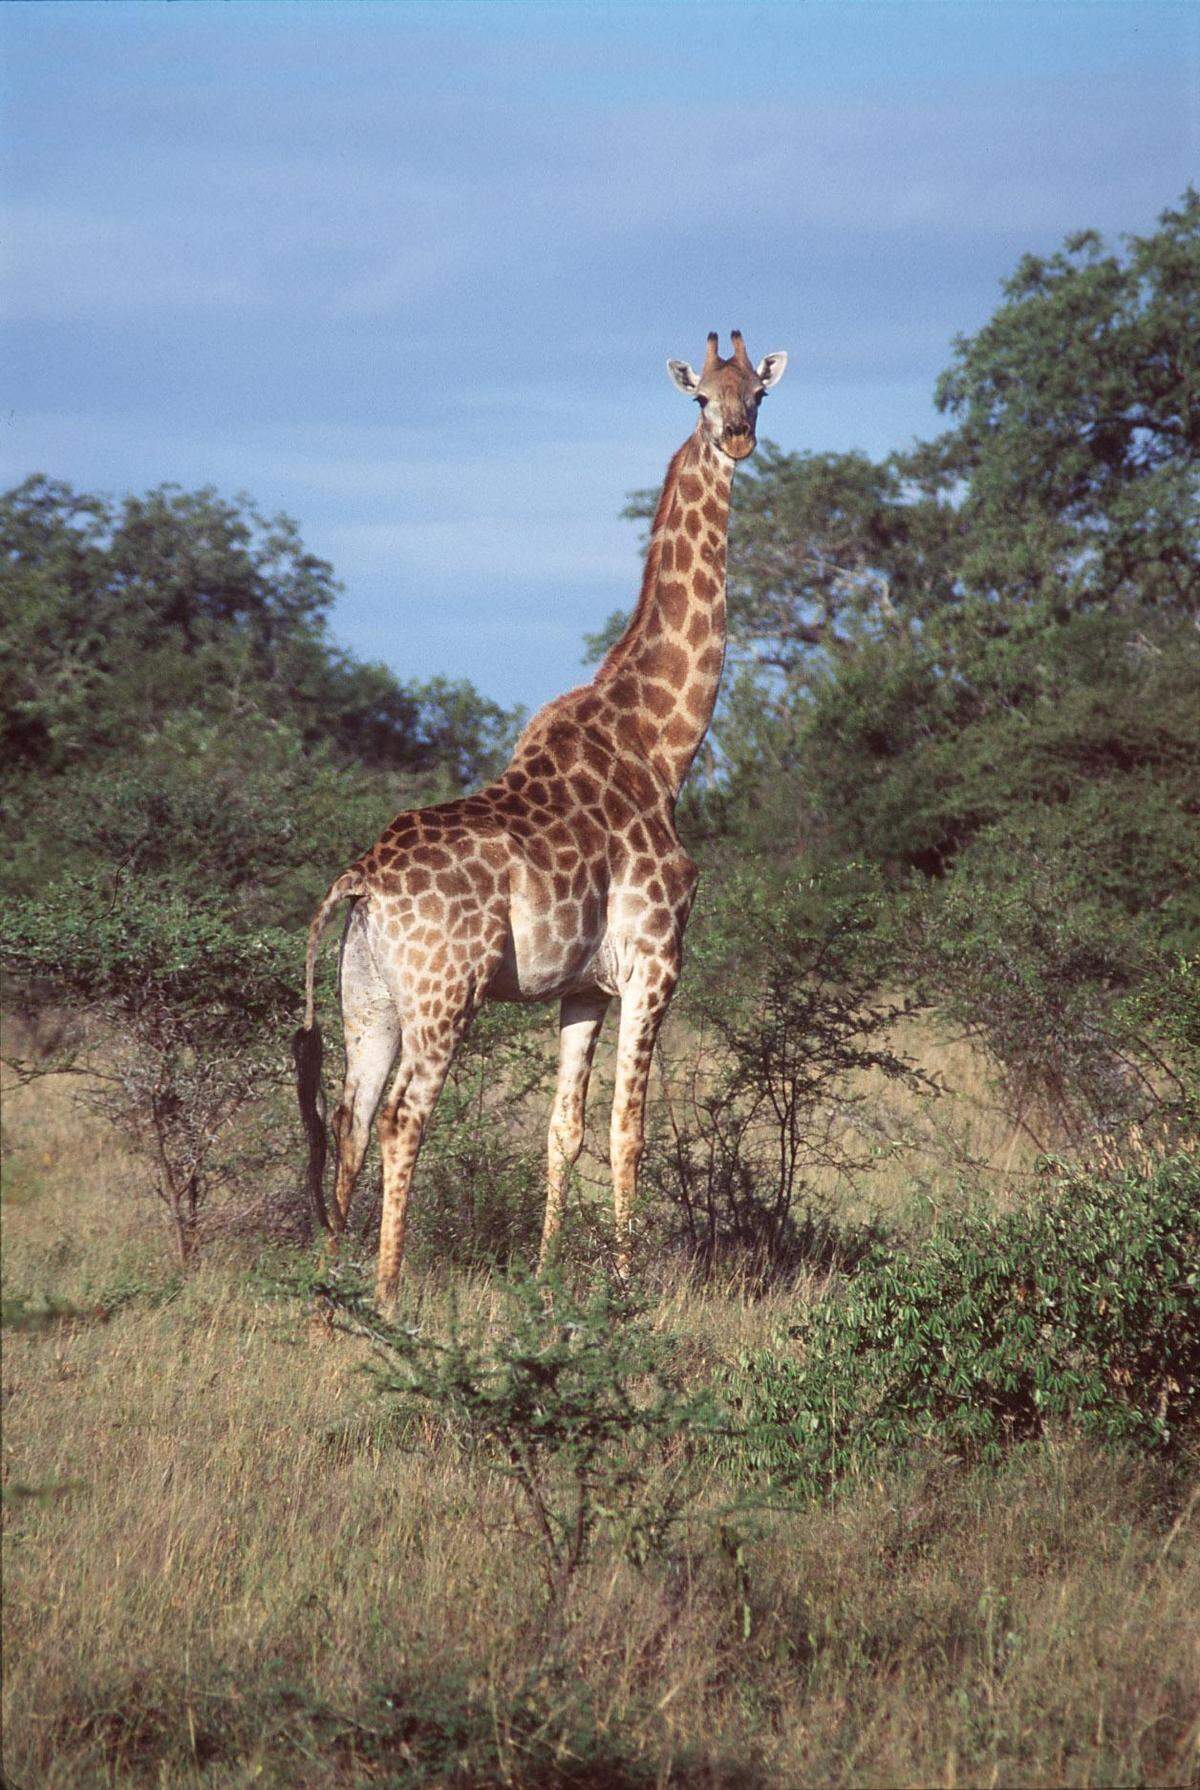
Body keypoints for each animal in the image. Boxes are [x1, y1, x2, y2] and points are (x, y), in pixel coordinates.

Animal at [294, 330, 787, 1308]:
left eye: (759, 392)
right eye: (700, 400)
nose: (739, 439)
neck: (662, 746)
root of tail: (360, 881)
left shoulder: (581, 987)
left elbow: (563, 1130)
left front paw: (548, 1276)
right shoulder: (656, 964)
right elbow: (629, 1129)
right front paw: (625, 1287)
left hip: (369, 1000)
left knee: (350, 1114)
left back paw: (331, 1294)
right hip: (444, 995)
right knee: (405, 1117)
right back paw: (387, 1294)